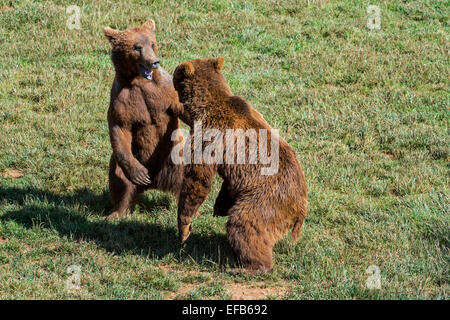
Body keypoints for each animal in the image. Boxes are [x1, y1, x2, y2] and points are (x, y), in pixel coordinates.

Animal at [103, 20, 183, 220]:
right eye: (137, 47)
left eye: (152, 44)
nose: (154, 61)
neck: (139, 81)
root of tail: (155, 182)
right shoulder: (122, 99)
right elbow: (120, 127)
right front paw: (138, 174)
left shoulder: (164, 91)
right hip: (132, 157)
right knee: (120, 180)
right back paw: (118, 212)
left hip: (174, 157)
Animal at [173, 58, 310, 276]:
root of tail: (301, 208)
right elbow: (227, 185)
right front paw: (219, 206)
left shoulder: (208, 137)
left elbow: (197, 179)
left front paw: (184, 229)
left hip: (267, 200)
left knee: (244, 224)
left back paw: (247, 267)